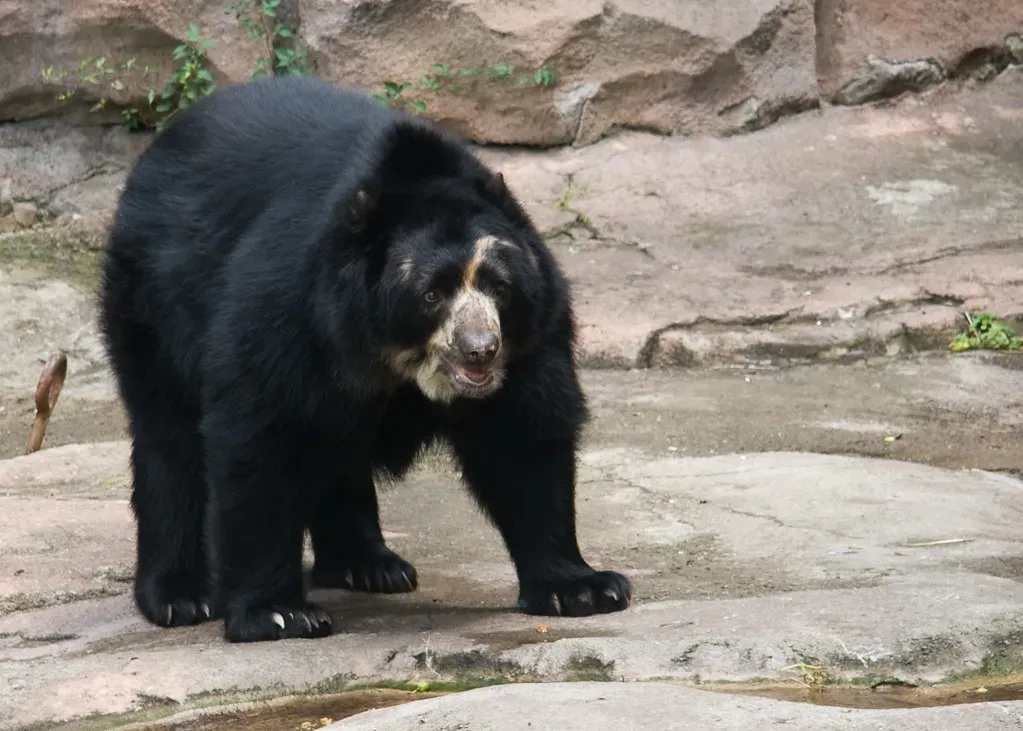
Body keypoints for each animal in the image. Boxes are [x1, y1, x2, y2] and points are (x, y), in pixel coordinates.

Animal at [98, 75, 631, 643]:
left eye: (499, 287)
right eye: (431, 294)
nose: (481, 350)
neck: (392, 357)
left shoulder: (531, 336)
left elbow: (525, 437)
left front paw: (584, 588)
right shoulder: (289, 308)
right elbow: (260, 434)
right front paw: (278, 613)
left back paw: (371, 565)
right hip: (153, 301)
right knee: (169, 438)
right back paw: (179, 596)